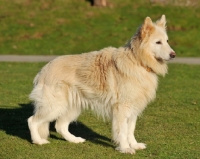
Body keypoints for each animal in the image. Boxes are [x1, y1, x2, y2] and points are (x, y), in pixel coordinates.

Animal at [27, 14, 175, 154]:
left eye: (167, 41)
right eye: (158, 42)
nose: (173, 55)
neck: (137, 60)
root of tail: (44, 70)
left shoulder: (133, 109)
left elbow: (130, 130)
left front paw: (134, 145)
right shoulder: (122, 109)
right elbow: (122, 131)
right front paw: (125, 148)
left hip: (72, 107)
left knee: (60, 126)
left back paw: (75, 140)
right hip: (54, 106)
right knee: (32, 121)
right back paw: (38, 141)